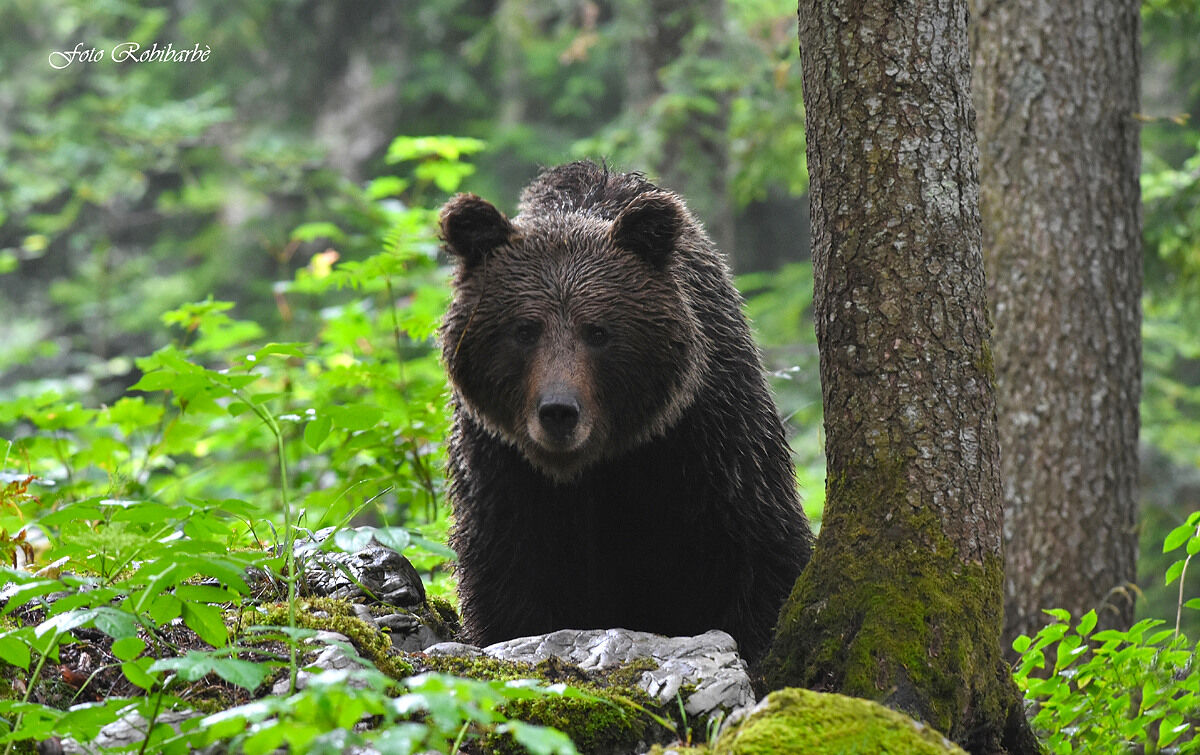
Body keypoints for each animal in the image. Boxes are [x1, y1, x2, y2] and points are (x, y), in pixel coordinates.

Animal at [438, 161, 812, 663]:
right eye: (525, 330)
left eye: (597, 331)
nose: (559, 411)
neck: (597, 465)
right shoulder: (501, 465)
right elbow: (508, 575)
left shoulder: (708, 437)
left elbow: (758, 550)